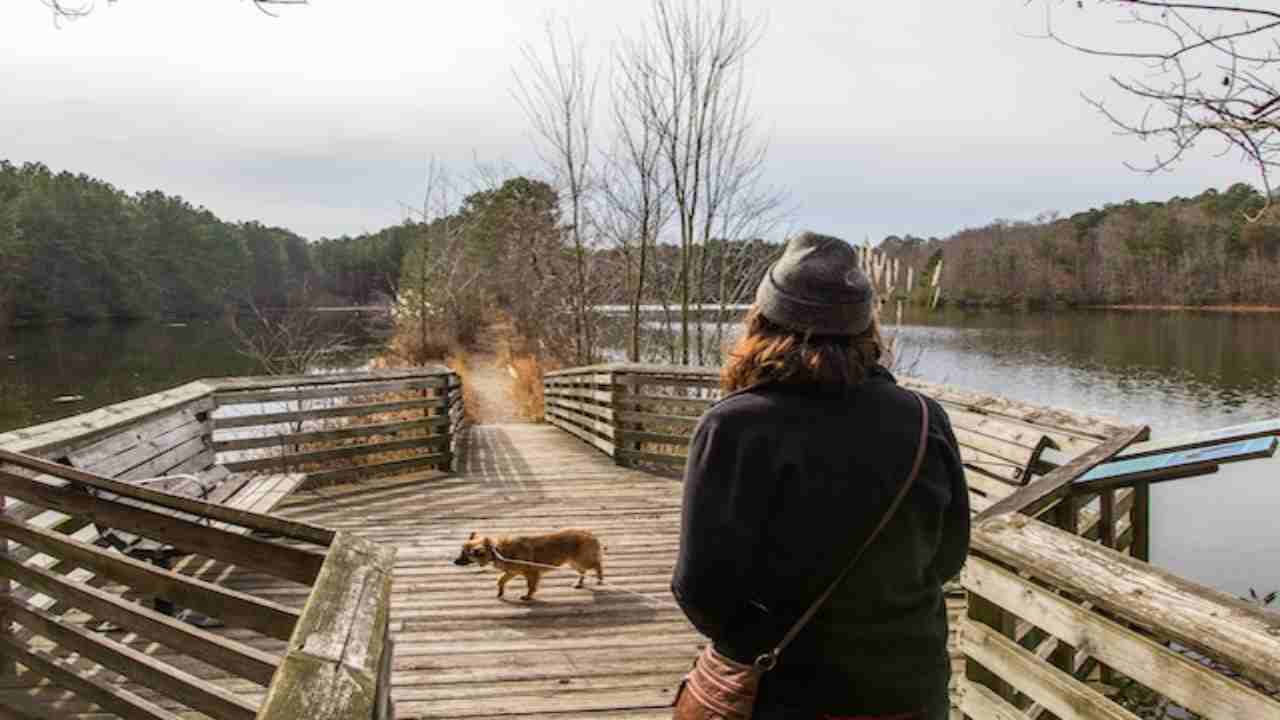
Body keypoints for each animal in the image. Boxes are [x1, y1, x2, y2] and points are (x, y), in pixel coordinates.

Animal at [455, 527, 604, 599]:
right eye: (462, 552)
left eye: (465, 554)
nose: (454, 562)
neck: (496, 549)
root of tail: (590, 534)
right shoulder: (511, 572)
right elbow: (500, 580)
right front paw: (500, 592)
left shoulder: (531, 573)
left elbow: (531, 586)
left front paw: (528, 596)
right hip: (574, 562)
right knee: (583, 572)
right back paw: (579, 583)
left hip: (582, 560)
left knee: (598, 564)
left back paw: (600, 578)